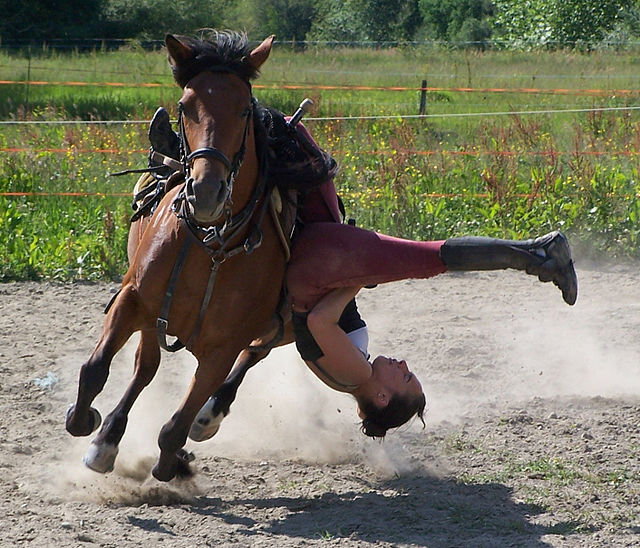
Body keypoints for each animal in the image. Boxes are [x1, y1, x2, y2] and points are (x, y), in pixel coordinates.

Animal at [65, 32, 302, 482]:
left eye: (244, 108)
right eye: (186, 105)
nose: (206, 192)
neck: (211, 246)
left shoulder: (222, 348)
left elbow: (175, 425)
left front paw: (174, 462)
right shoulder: (133, 300)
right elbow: (95, 369)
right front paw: (85, 422)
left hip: (292, 323)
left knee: (253, 356)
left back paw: (208, 418)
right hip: (153, 317)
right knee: (145, 366)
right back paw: (108, 438)